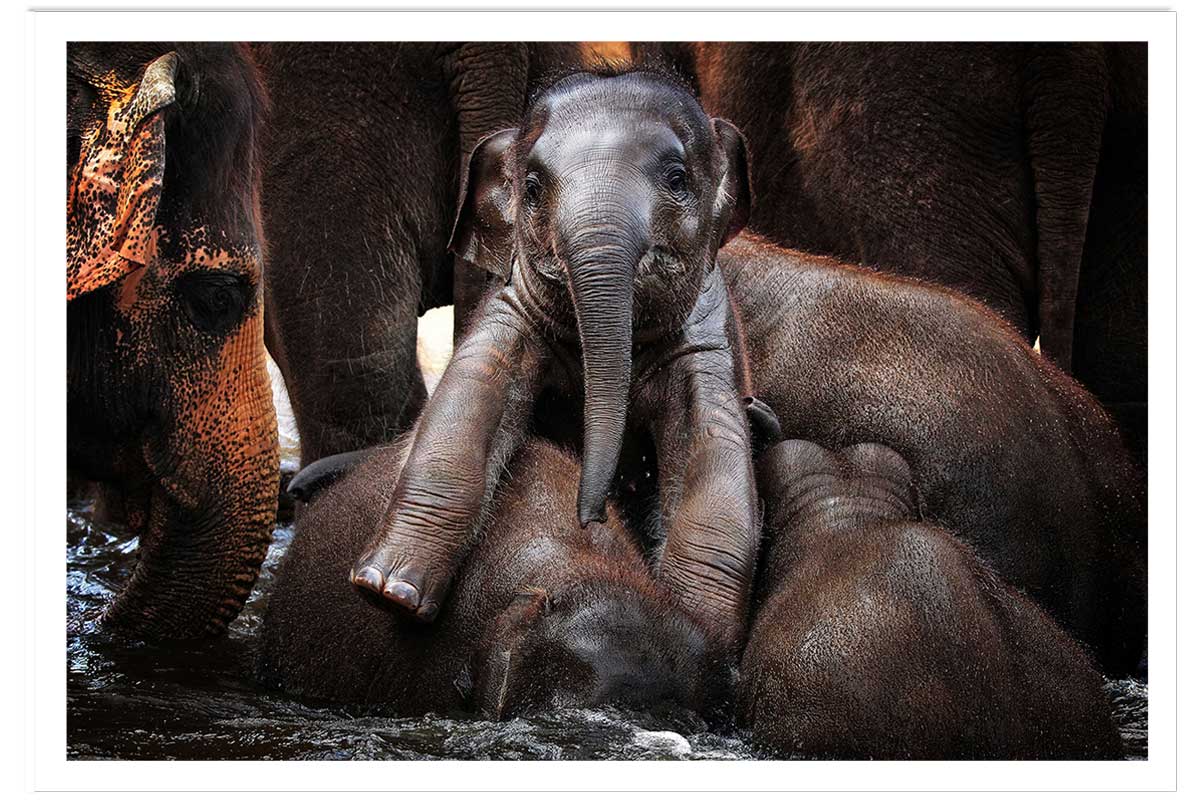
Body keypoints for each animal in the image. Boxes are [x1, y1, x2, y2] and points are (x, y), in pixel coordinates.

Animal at [347, 68, 762, 650]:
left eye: (678, 179)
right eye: (533, 188)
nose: (591, 517)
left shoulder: (707, 342)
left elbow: (714, 458)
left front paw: (697, 632)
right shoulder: (511, 306)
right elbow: (470, 396)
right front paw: (387, 592)